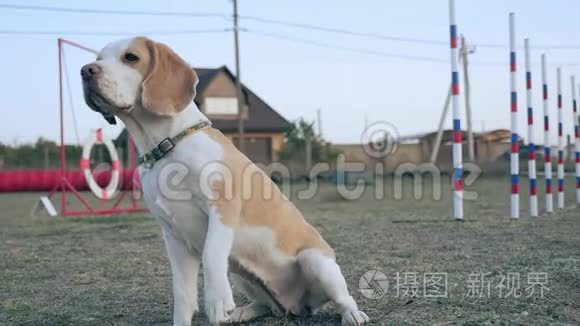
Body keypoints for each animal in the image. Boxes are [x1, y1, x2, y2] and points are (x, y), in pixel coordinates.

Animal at [80, 37, 370, 324]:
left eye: (131, 58)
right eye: (98, 59)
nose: (85, 71)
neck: (167, 147)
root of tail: (295, 307)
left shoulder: (222, 209)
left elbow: (211, 255)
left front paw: (217, 301)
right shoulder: (173, 234)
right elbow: (182, 295)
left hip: (315, 261)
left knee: (342, 298)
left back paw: (352, 314)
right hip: (243, 277)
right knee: (266, 306)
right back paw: (240, 313)